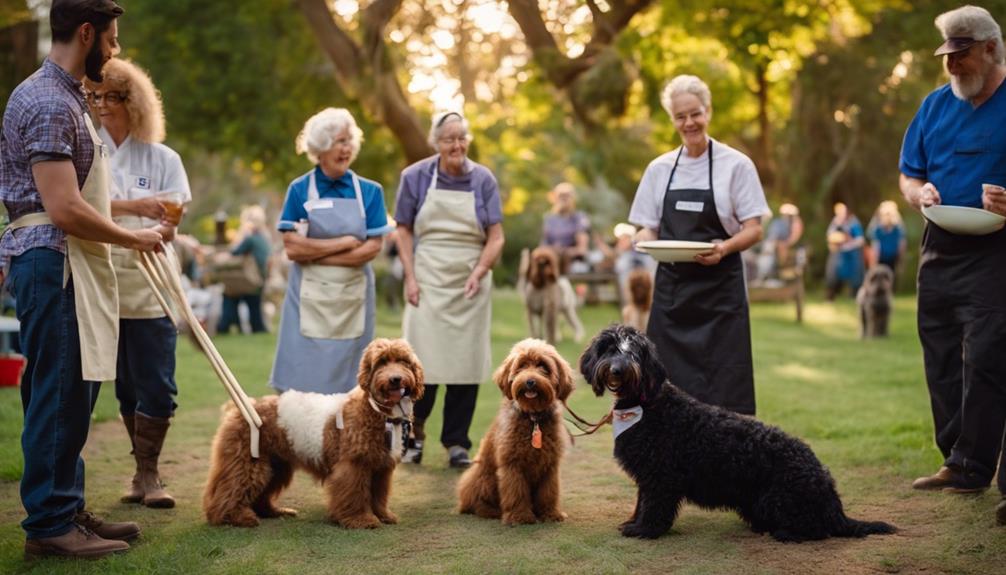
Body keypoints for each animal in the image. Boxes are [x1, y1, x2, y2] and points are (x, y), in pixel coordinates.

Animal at [202, 337, 422, 530]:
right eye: (382, 362)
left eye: (403, 361)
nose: (395, 379)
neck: (374, 411)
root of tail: (241, 406)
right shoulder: (354, 465)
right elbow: (355, 494)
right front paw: (360, 519)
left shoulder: (380, 468)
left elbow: (378, 494)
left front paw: (383, 515)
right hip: (248, 461)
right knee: (230, 489)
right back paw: (233, 517)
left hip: (276, 464)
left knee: (259, 493)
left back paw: (274, 511)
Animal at [458, 341, 575, 526]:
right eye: (522, 365)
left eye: (543, 366)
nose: (530, 382)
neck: (533, 419)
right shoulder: (512, 464)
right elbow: (516, 492)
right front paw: (519, 516)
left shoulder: (550, 465)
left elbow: (549, 492)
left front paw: (550, 513)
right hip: (484, 479)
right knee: (477, 502)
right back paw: (491, 511)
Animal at [583, 325, 897, 542]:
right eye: (609, 348)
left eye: (634, 352)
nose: (617, 369)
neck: (647, 405)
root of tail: (831, 497)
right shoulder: (647, 477)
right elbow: (641, 503)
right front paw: (634, 523)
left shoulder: (660, 478)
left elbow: (653, 507)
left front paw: (645, 530)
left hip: (775, 500)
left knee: (818, 529)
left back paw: (787, 534)